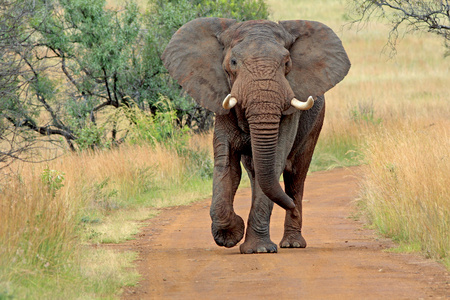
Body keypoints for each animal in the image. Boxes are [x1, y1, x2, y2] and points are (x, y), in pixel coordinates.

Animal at [163, 18, 352, 253]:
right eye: (233, 62)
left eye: (287, 63)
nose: (291, 206)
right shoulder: (222, 104)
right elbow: (227, 166)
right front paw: (230, 235)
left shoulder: (290, 113)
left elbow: (275, 162)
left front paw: (258, 249)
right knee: (256, 174)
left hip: (316, 122)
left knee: (295, 177)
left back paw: (292, 243)